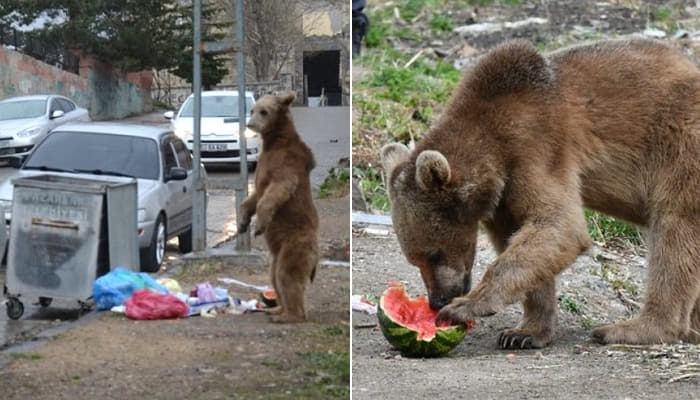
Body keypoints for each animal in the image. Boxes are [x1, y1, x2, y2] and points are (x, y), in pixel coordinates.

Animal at [239, 92, 318, 324]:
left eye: (264, 111)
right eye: (253, 109)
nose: (250, 123)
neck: (273, 142)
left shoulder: (285, 163)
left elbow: (276, 190)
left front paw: (259, 225)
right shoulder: (264, 164)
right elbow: (254, 196)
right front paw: (243, 222)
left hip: (295, 242)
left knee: (287, 274)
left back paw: (289, 315)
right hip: (281, 250)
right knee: (274, 275)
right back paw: (276, 310)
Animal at [382, 39, 700, 348]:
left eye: (433, 253)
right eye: (415, 259)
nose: (437, 301)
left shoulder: (538, 148)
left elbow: (559, 226)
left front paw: (465, 306)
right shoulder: (503, 198)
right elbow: (525, 243)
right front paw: (524, 332)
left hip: (680, 147)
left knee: (674, 232)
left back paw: (632, 328)